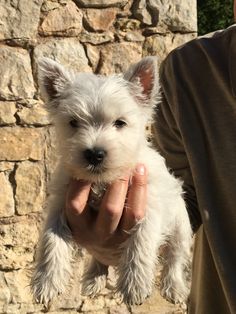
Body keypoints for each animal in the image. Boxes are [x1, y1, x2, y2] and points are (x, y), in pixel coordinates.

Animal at [30, 55, 192, 304]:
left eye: (120, 123)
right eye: (74, 122)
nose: (94, 154)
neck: (102, 182)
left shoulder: (149, 207)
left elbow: (141, 241)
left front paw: (135, 286)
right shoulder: (60, 204)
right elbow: (50, 240)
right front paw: (46, 282)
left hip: (181, 226)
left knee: (175, 257)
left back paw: (174, 288)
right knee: (100, 258)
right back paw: (93, 280)